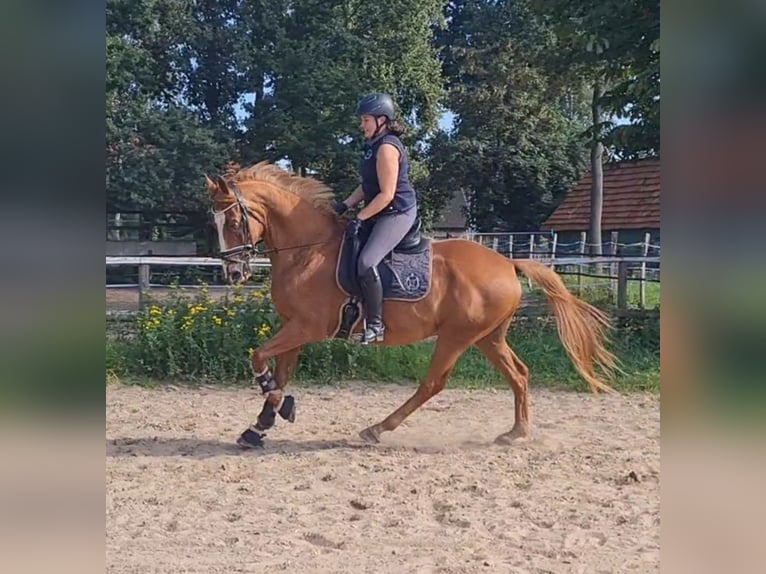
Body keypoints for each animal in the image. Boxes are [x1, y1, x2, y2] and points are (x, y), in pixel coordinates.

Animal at [207, 162, 620, 450]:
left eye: (233, 219)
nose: (233, 272)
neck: (307, 251)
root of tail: (507, 263)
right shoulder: (293, 326)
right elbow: (279, 371)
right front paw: (260, 425)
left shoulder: (307, 327)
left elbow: (260, 358)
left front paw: (277, 406)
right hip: (488, 337)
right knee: (518, 374)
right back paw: (515, 433)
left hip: (456, 337)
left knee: (433, 383)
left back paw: (377, 429)